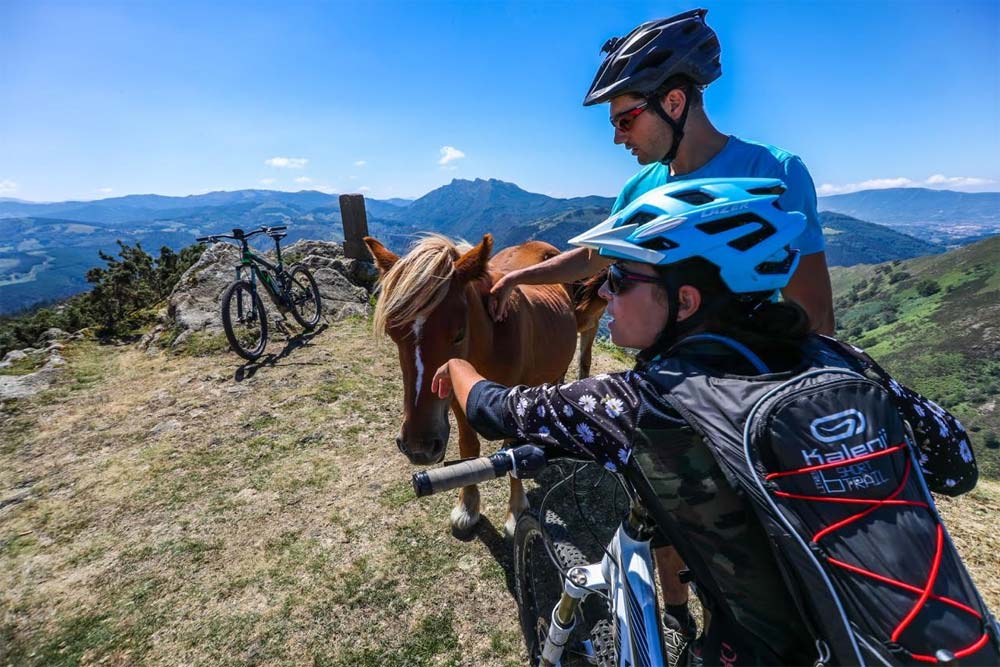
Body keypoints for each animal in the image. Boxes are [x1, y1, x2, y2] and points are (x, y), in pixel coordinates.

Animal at [368, 235, 600, 536]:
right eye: (392, 333)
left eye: (458, 334)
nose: (418, 446)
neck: (489, 346)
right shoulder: (456, 396)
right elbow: (468, 447)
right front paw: (467, 506)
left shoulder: (514, 401)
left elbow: (512, 449)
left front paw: (516, 510)